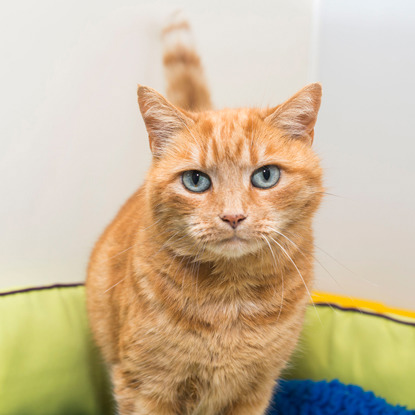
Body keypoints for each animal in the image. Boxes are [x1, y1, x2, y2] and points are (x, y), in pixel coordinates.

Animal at [86, 16, 324, 415]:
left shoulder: (254, 391)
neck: (231, 300)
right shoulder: (144, 387)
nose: (233, 216)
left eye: (266, 176)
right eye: (196, 181)